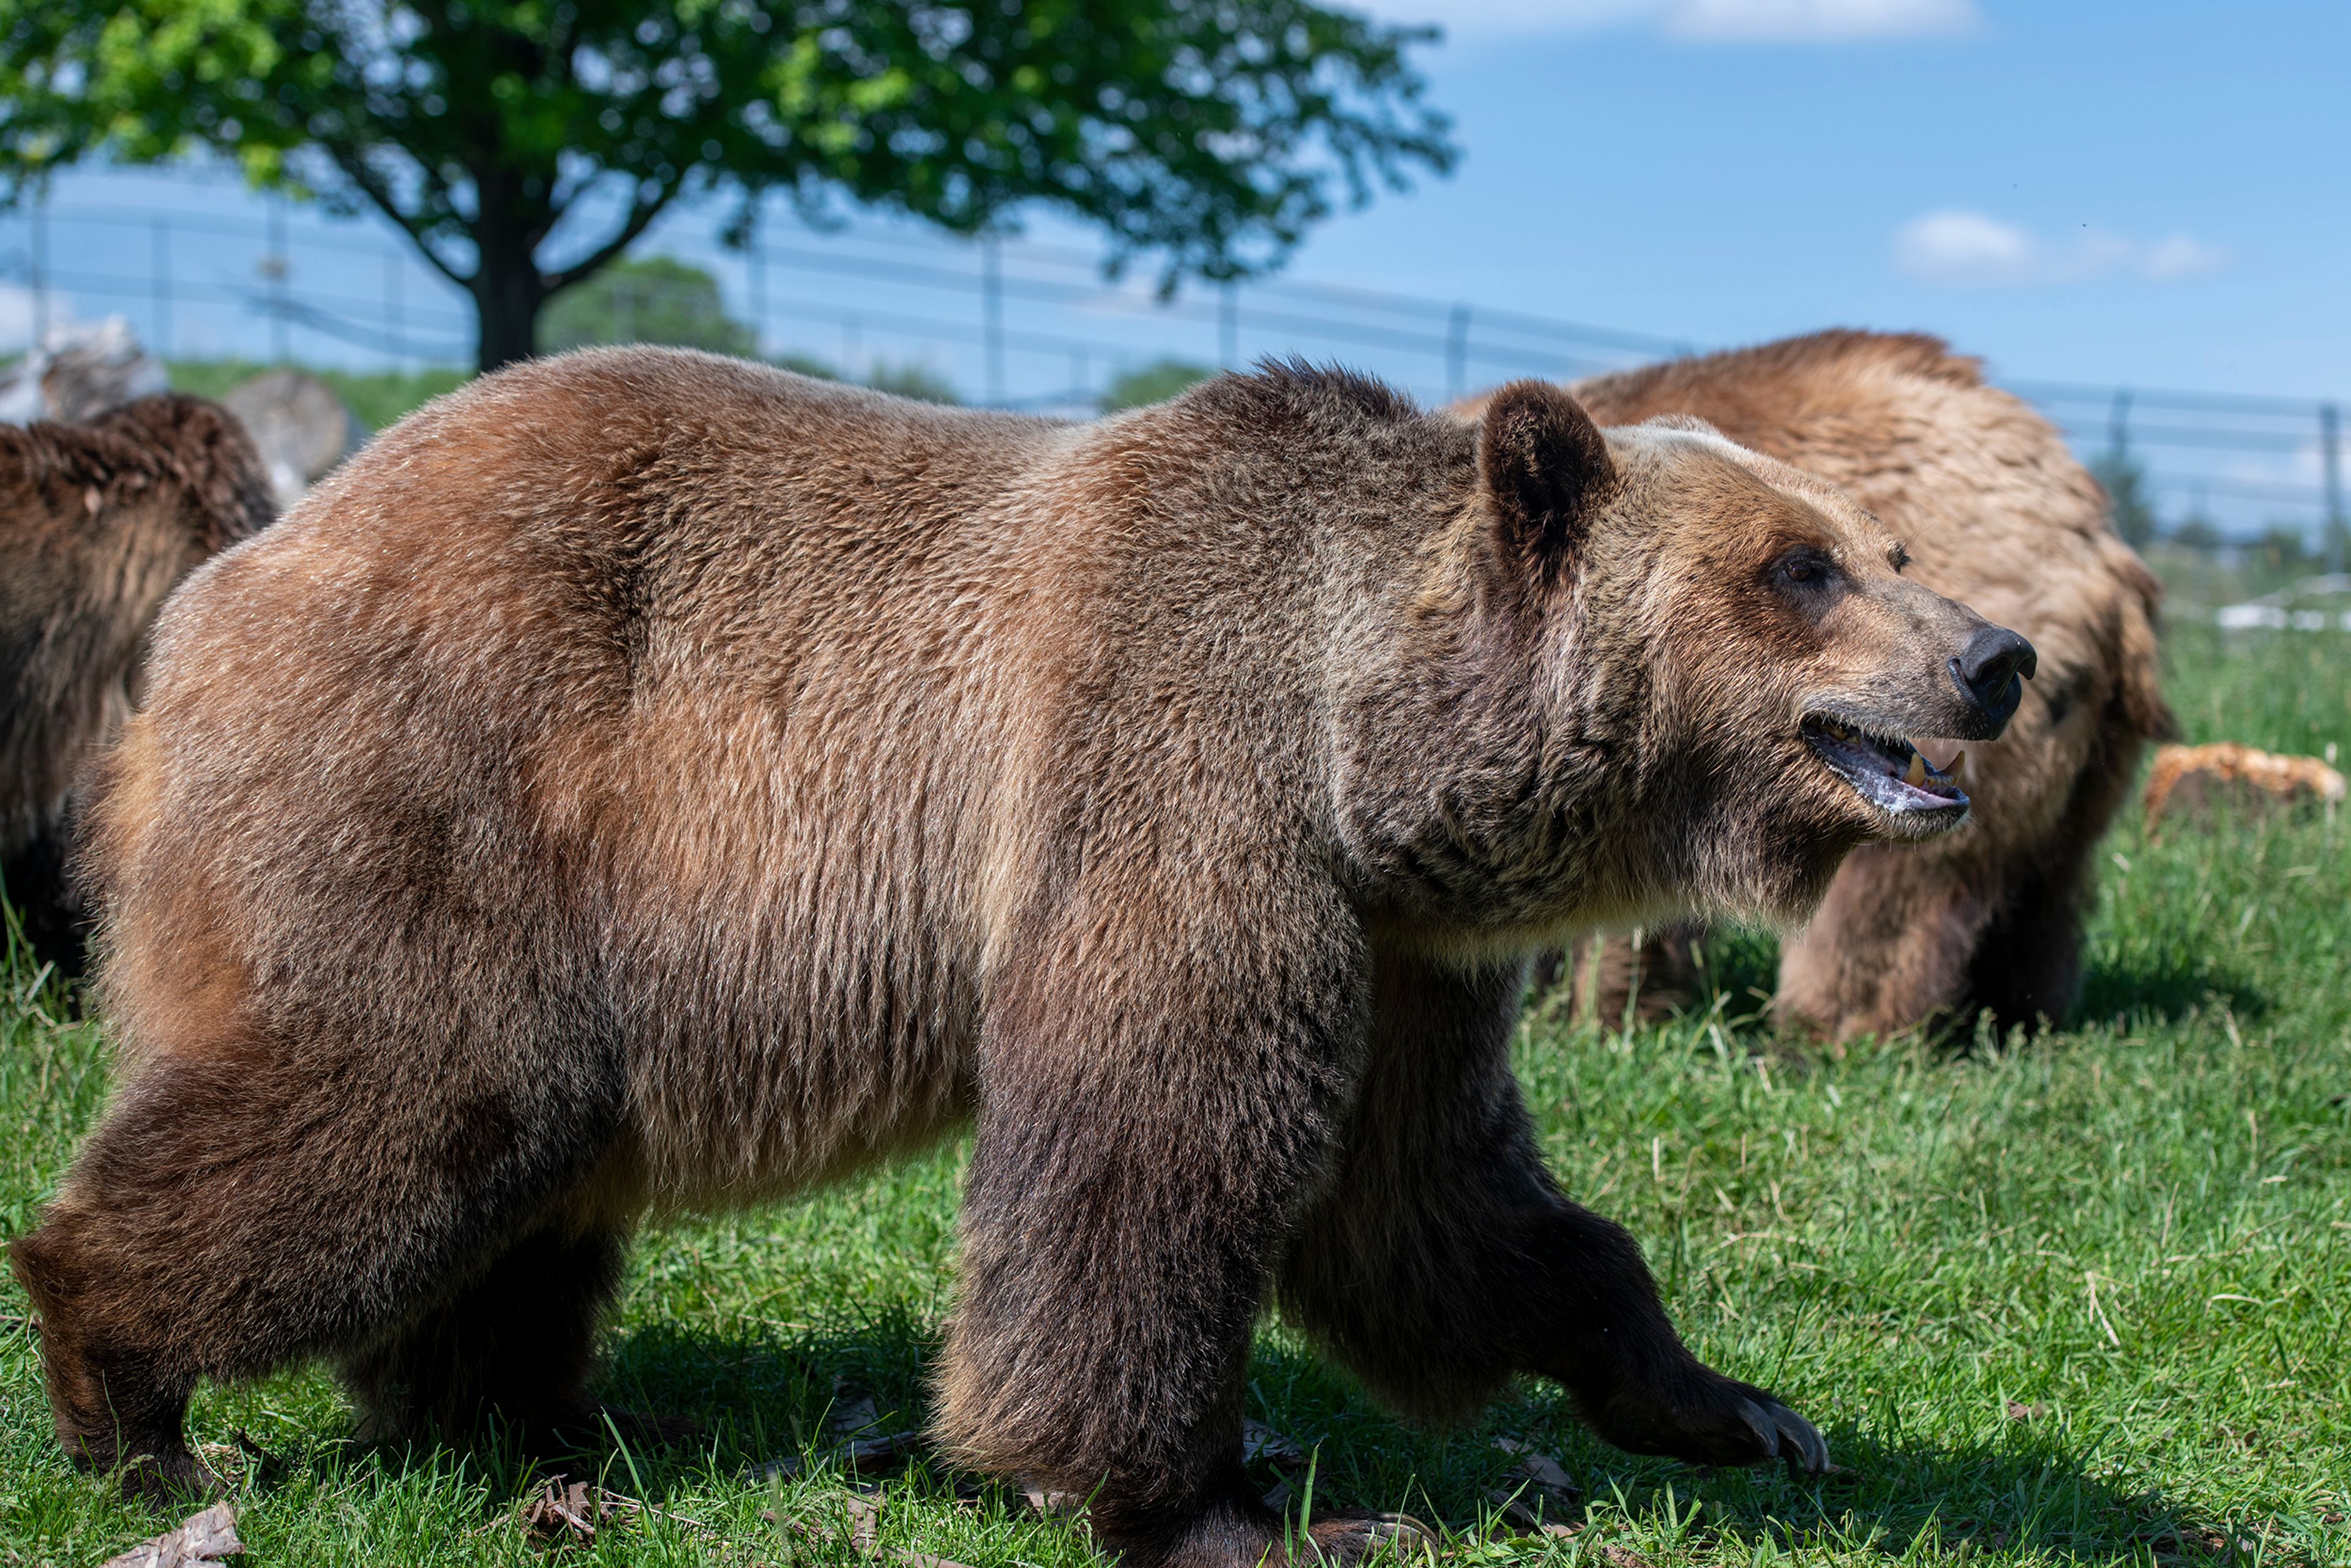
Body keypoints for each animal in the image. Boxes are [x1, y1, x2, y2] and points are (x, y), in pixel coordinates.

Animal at [1476, 331, 2172, 1043]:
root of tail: (2097, 544)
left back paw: (1821, 1032)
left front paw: (1606, 1011)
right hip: (2083, 751)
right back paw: (2021, 1014)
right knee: (2047, 887)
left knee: (1882, 900)